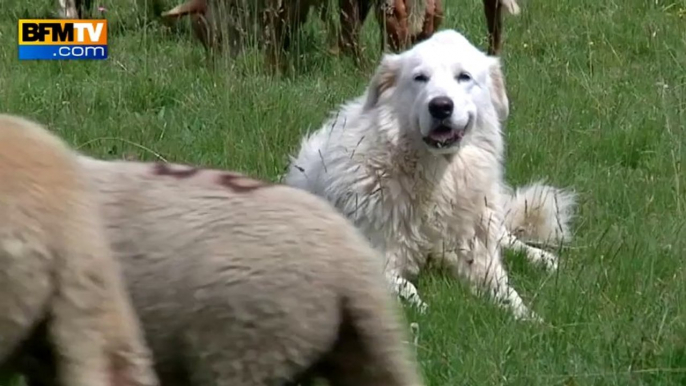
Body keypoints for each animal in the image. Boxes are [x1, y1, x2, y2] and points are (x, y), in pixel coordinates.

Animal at [282, 29, 576, 320]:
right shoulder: (376, 259)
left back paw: (544, 259)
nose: (441, 106)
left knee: (508, 238)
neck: (438, 178)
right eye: (420, 78)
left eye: (464, 77)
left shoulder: (479, 260)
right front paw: (421, 310)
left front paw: (530, 319)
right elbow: (406, 289)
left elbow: (509, 293)